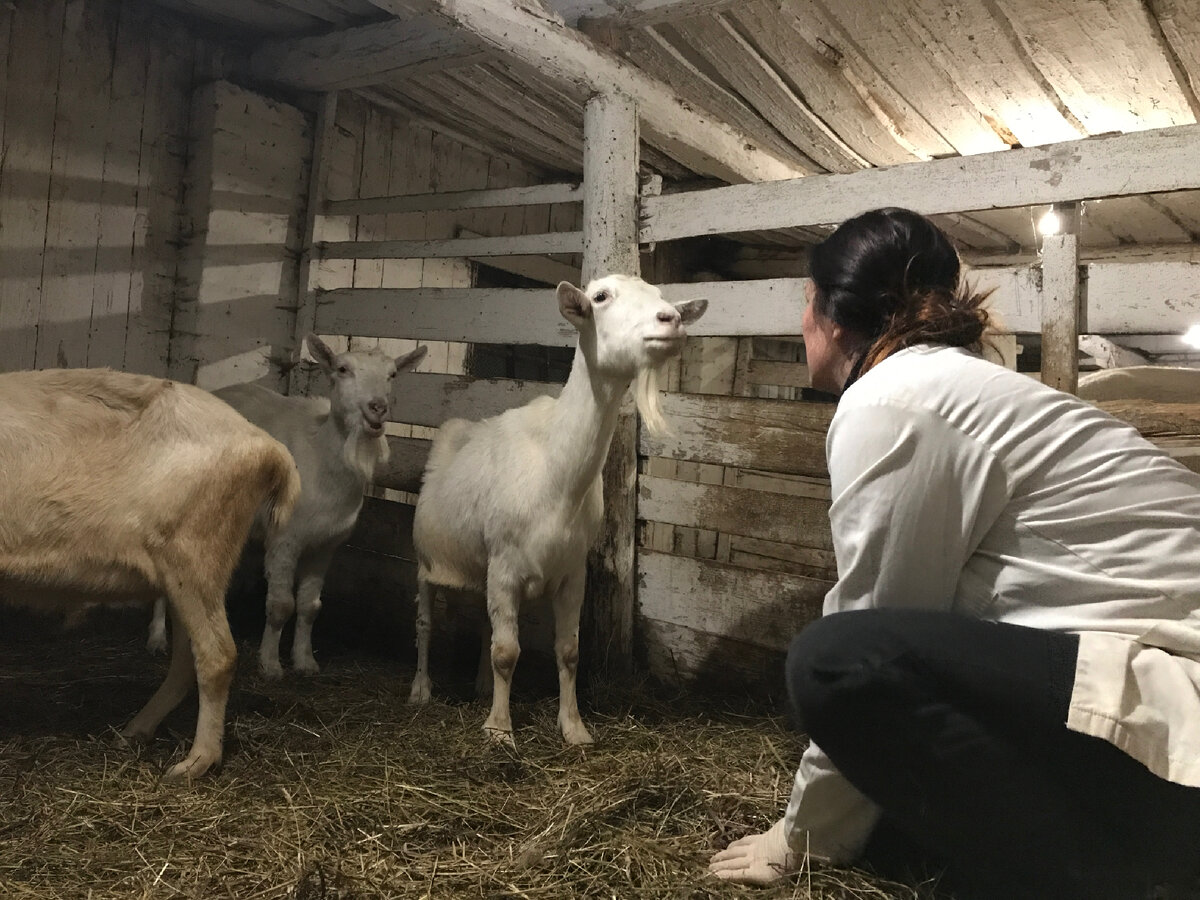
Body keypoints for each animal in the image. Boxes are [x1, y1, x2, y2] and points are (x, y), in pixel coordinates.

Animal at [0, 367, 300, 782]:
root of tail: (269, 447)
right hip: (179, 573)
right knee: (187, 661)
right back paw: (137, 730)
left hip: (196, 556)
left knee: (218, 655)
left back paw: (197, 761)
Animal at [150, 336, 429, 676]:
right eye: (342, 369)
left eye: (392, 374)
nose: (377, 408)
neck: (323, 457)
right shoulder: (286, 539)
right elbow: (282, 605)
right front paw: (270, 663)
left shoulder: (326, 545)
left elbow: (310, 607)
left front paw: (305, 660)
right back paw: (158, 638)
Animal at [410, 274, 705, 748]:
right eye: (600, 297)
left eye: (664, 298)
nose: (671, 320)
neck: (555, 468)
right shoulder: (505, 565)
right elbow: (507, 651)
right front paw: (499, 729)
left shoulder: (570, 572)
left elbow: (567, 652)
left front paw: (574, 728)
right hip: (425, 558)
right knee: (424, 622)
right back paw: (420, 689)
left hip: (480, 567)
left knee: (483, 624)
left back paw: (480, 687)